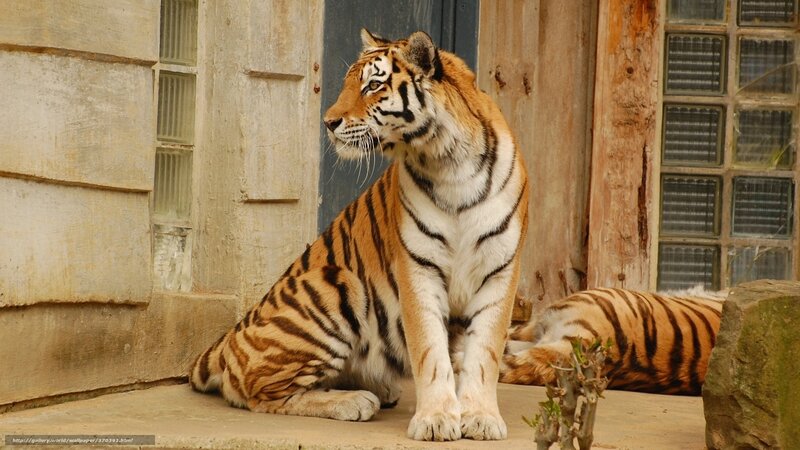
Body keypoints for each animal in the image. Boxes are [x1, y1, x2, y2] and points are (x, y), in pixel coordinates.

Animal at [190, 29, 528, 442]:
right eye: (349, 83)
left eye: (373, 85)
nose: (328, 122)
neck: (448, 160)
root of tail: (229, 338)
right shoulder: (418, 269)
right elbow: (430, 351)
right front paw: (435, 420)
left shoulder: (500, 270)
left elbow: (484, 353)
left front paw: (479, 417)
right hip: (335, 283)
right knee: (258, 392)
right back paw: (354, 401)